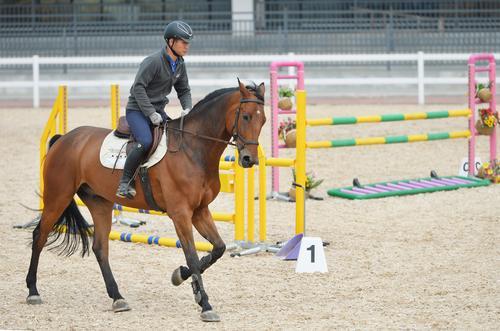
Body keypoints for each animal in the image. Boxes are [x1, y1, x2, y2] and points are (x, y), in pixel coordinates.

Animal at [24, 80, 266, 322]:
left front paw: (179, 275)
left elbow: (218, 249)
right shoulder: (180, 214)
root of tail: (65, 138)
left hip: (99, 203)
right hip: (58, 197)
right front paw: (205, 303)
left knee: (100, 247)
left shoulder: (200, 211)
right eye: (245, 116)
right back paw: (33, 291)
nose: (249, 159)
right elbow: (191, 255)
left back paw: (117, 297)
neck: (192, 148)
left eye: (263, 119)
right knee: (40, 235)